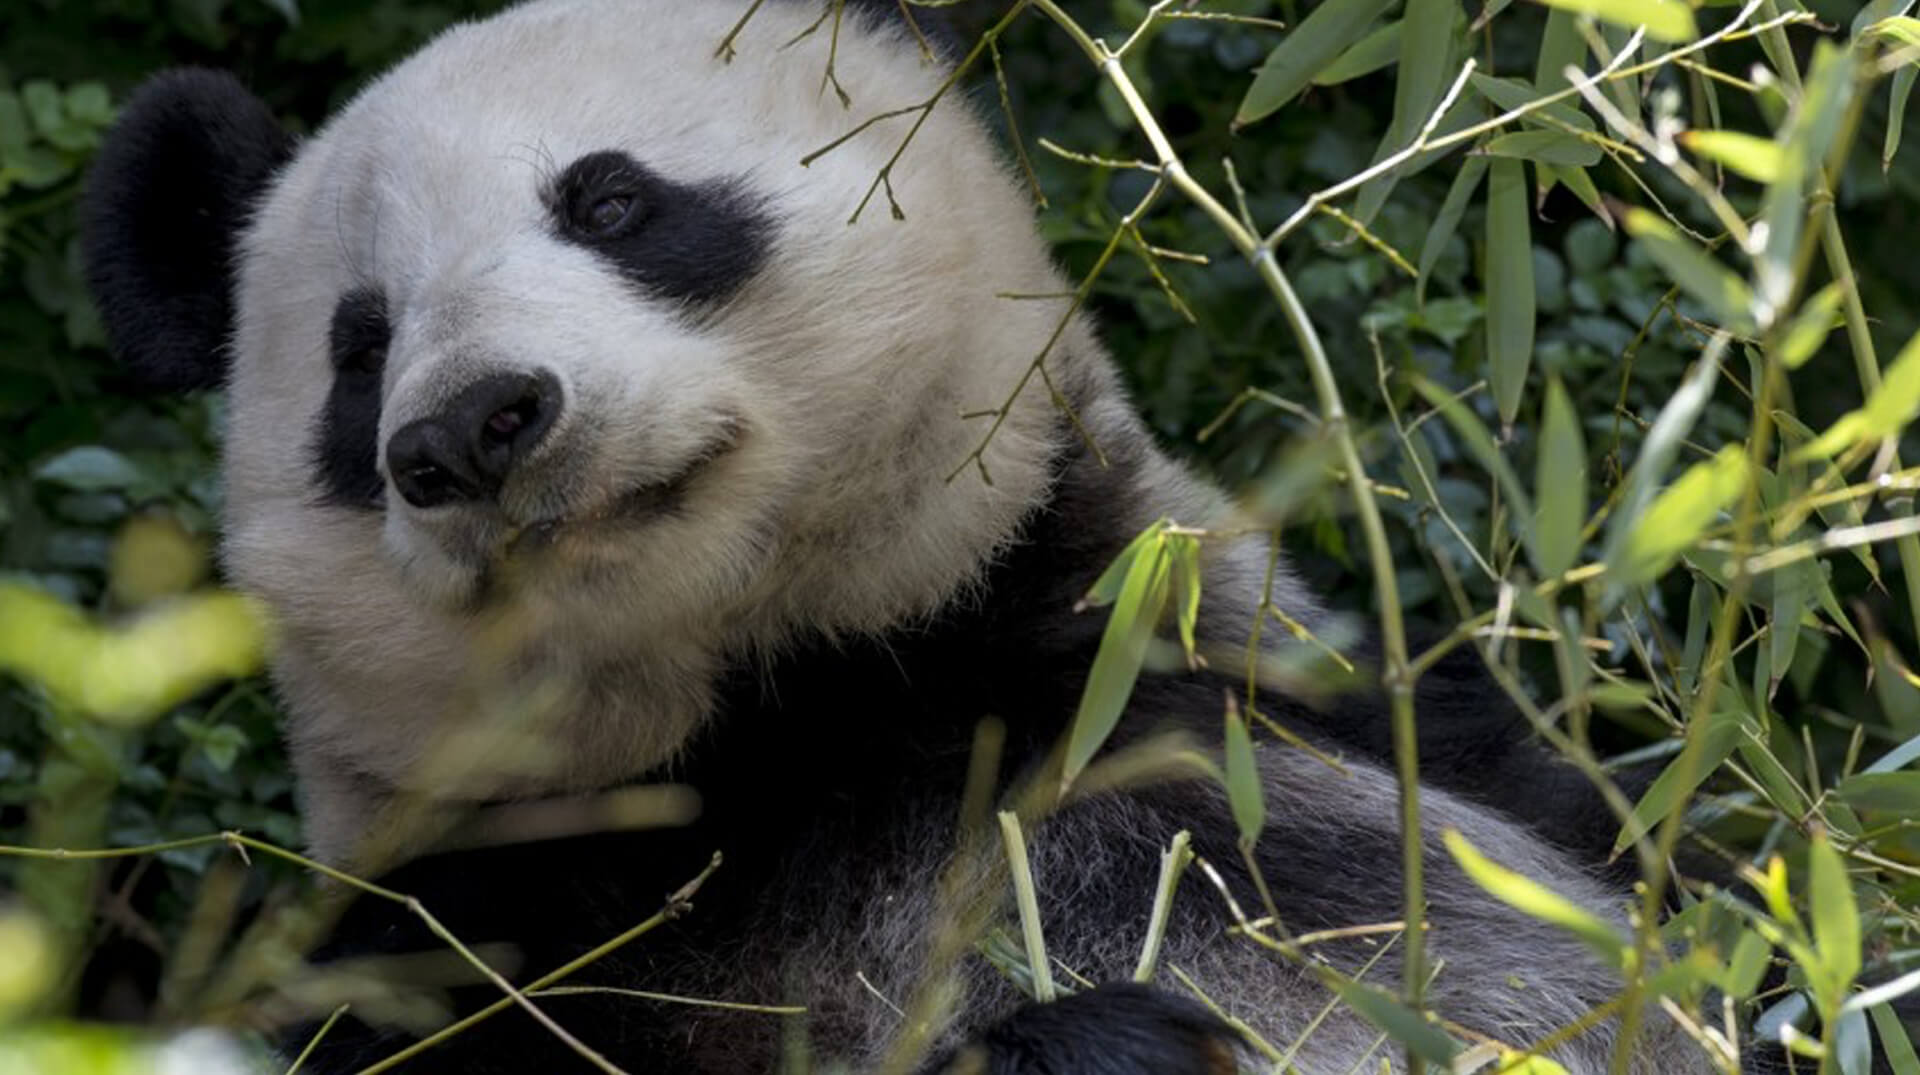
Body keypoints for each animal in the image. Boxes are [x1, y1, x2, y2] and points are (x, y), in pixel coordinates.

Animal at [82, 2, 1720, 1075]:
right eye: (359, 350)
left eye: (610, 199)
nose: (474, 425)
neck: (785, 709)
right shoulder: (478, 940)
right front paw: (1101, 1043)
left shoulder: (1241, 687)